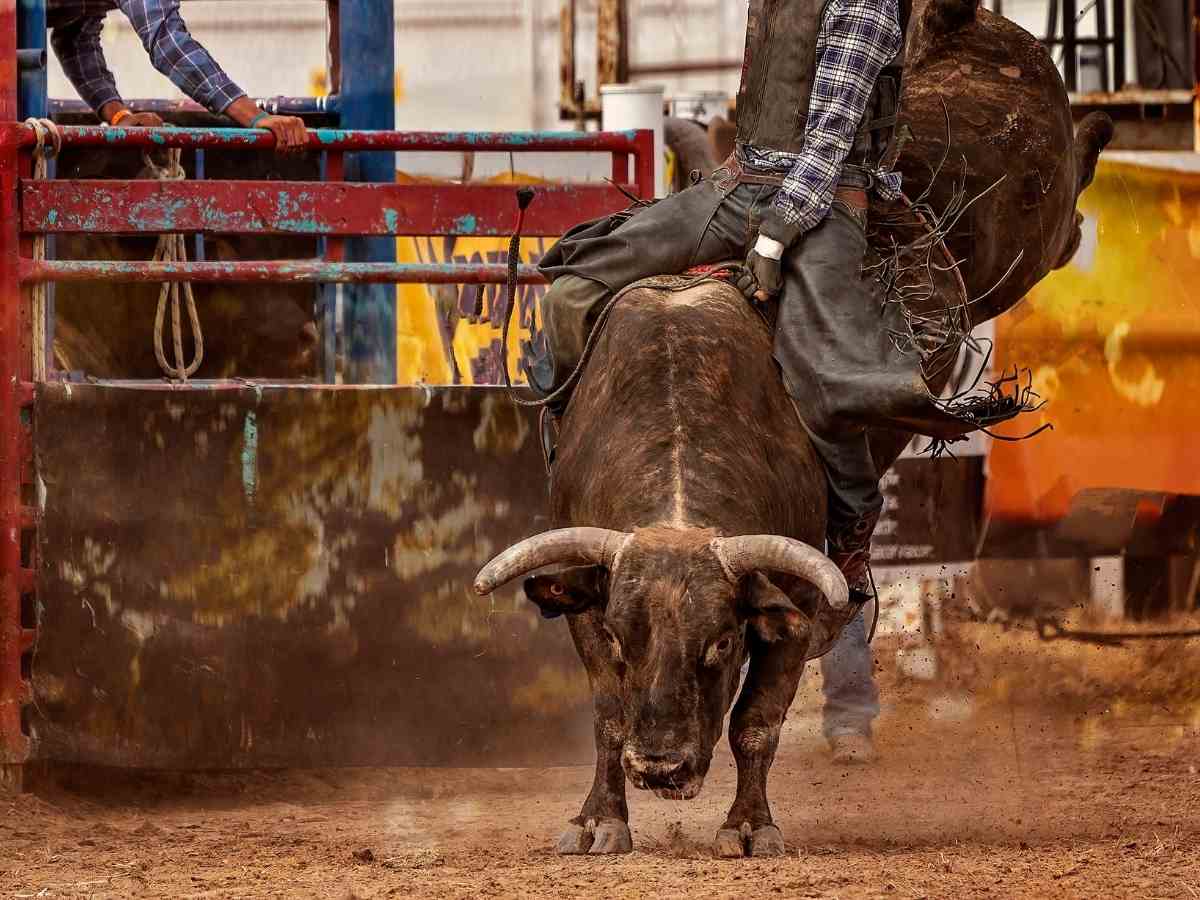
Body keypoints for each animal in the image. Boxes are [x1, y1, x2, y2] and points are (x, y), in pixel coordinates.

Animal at [472, 0, 1108, 864]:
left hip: (1016, 227)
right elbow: (606, 713)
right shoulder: (585, 604)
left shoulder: (794, 608)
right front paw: (600, 819)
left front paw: (748, 826)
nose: (663, 767)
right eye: (630, 641)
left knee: (1064, 208)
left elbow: (757, 723)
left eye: (718, 645)